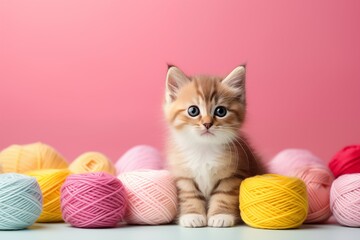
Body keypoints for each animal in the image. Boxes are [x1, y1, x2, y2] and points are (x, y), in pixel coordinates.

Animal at [163, 65, 264, 227]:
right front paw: (192, 215)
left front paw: (221, 215)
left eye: (220, 111)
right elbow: (189, 195)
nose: (207, 124)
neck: (204, 149)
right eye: (193, 110)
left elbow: (224, 195)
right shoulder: (183, 175)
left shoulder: (233, 174)